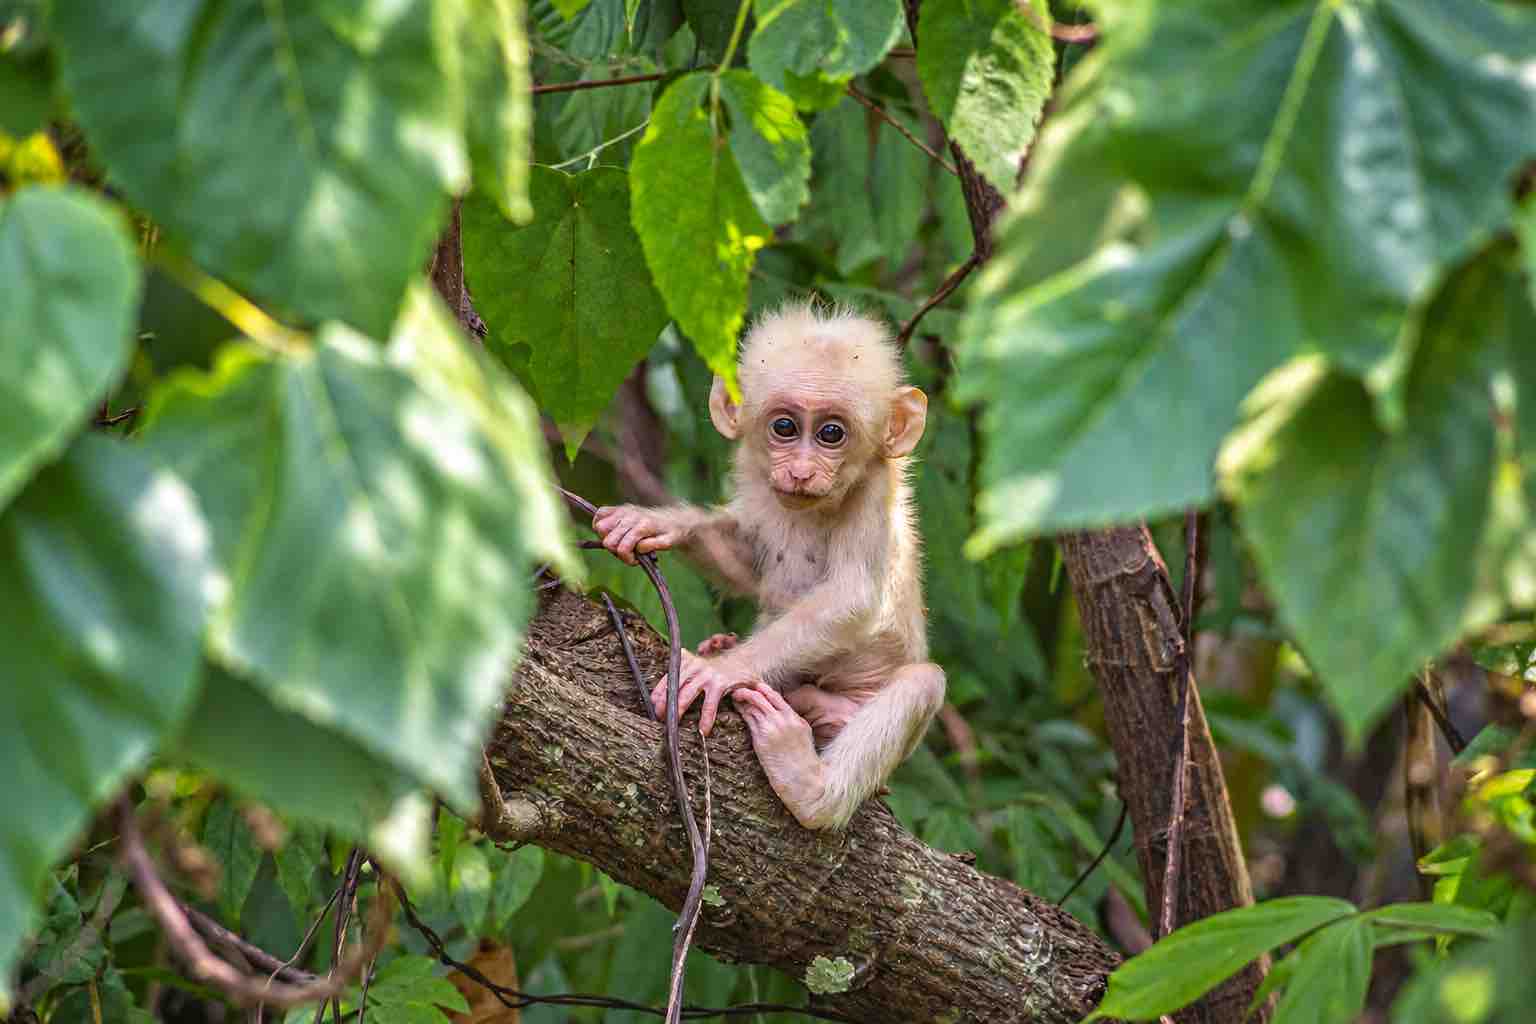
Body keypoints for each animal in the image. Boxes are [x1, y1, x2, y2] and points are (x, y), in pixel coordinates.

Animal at [591, 302, 944, 830]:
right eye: (785, 428)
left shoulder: (874, 488)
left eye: (831, 433)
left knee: (923, 682)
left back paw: (809, 786)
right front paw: (657, 522)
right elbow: (749, 568)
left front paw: (720, 671)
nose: (800, 471)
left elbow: (854, 596)